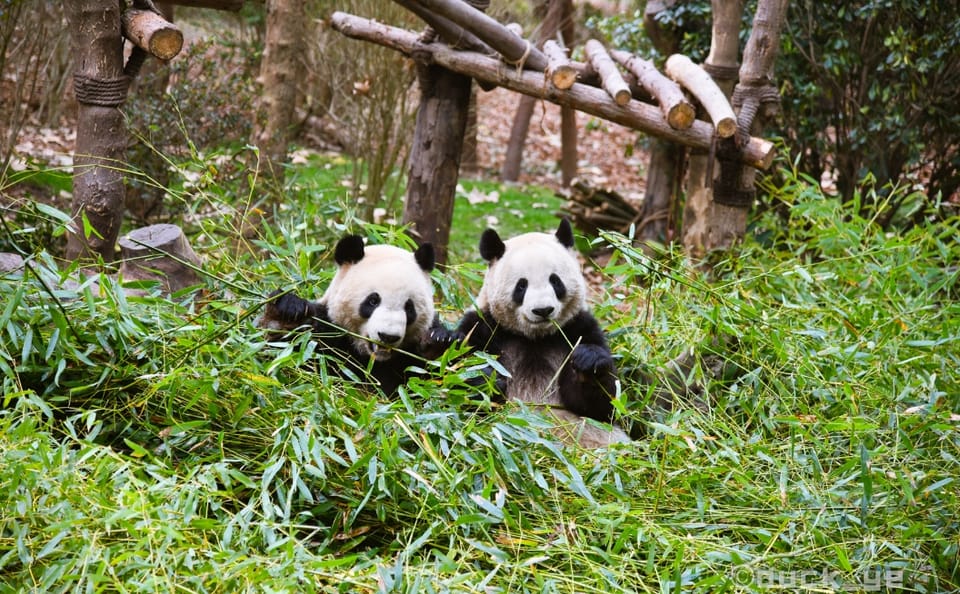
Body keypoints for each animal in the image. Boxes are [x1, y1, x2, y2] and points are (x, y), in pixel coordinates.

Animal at [260, 234, 445, 395]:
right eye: (373, 301)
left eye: (409, 307)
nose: (388, 336)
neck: (372, 359)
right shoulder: (326, 333)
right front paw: (286, 312)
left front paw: (437, 342)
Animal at [450, 218, 631, 448]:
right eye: (521, 286)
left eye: (555, 281)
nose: (543, 310)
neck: (535, 337)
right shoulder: (482, 328)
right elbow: (459, 386)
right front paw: (487, 379)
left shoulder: (579, 328)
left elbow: (604, 408)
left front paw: (588, 361)